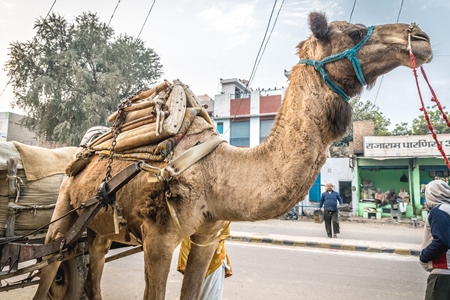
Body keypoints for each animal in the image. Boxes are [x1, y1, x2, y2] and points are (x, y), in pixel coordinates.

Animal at [32, 11, 432, 300]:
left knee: (92, 266)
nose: (421, 38)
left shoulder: (206, 237)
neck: (215, 170)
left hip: (98, 225)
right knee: (51, 262)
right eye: (355, 33)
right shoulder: (158, 238)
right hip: (65, 202)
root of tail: (83, 153)